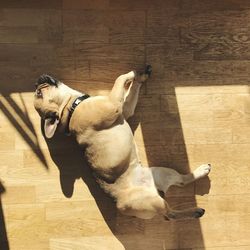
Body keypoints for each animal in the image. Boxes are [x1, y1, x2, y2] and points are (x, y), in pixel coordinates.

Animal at [33, 66, 211, 219]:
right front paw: (133, 73)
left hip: (163, 172)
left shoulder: (125, 110)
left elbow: (130, 91)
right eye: (39, 93)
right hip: (153, 202)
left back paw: (201, 171)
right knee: (170, 214)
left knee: (182, 181)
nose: (36, 81)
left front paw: (141, 77)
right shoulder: (113, 105)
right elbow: (120, 78)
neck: (72, 107)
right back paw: (194, 211)